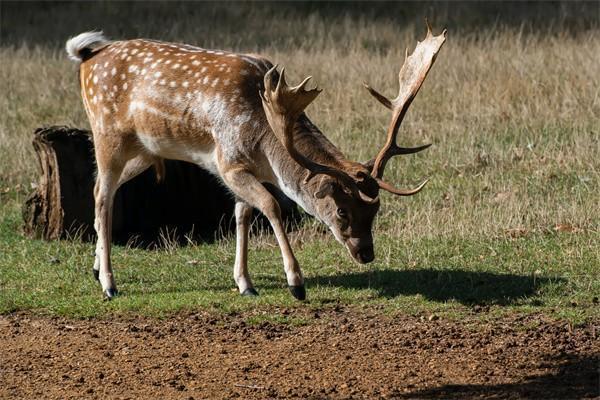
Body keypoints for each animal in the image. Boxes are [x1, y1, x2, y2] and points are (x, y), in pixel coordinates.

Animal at [67, 24, 446, 300]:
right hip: (106, 133)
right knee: (102, 194)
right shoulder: (228, 163)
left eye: (375, 209)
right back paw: (110, 284)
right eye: (341, 210)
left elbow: (243, 215)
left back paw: (96, 269)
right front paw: (296, 283)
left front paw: (245, 284)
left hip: (146, 150)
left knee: (101, 189)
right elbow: (270, 207)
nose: (366, 254)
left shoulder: (246, 171)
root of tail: (86, 57)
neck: (267, 143)